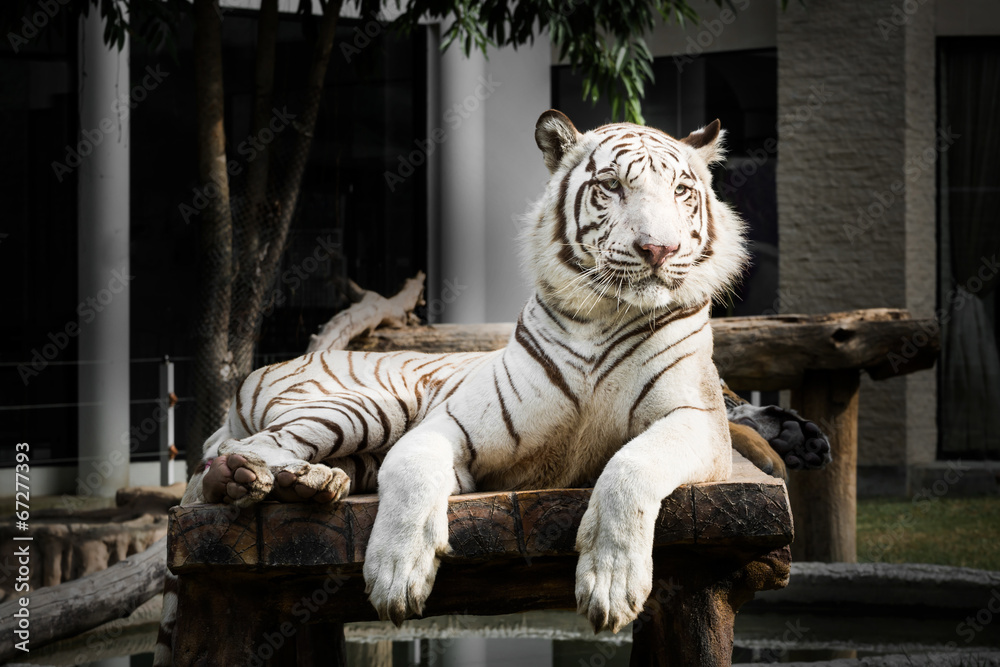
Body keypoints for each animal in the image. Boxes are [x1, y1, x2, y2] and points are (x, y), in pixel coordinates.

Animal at [159, 110, 831, 663]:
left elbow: (632, 467)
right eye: (613, 186)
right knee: (243, 452)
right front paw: (396, 574)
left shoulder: (694, 419)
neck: (605, 315)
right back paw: (258, 480)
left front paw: (611, 583)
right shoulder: (446, 427)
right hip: (367, 404)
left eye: (683, 193)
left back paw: (307, 484)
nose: (659, 249)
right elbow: (414, 472)